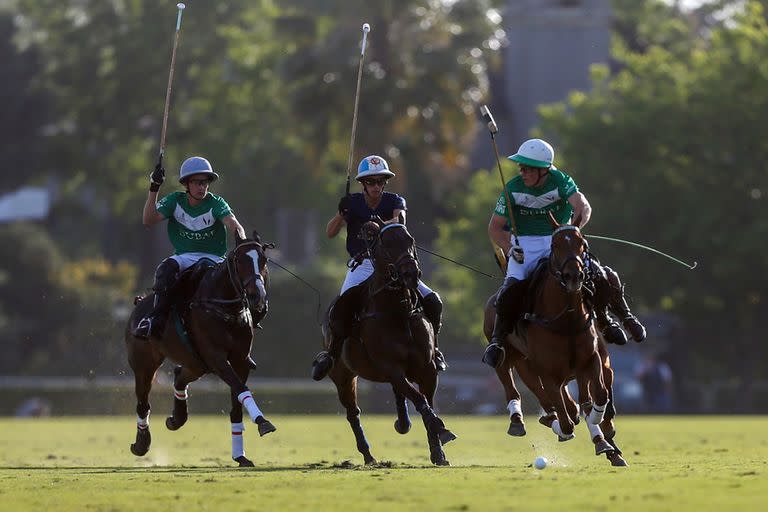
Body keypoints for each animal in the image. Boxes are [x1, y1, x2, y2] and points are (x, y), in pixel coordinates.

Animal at [123, 232, 272, 468]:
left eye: (264, 260)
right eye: (240, 261)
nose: (258, 297)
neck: (225, 308)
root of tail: (139, 303)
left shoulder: (240, 360)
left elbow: (237, 402)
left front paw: (240, 455)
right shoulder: (217, 358)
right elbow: (241, 389)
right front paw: (263, 422)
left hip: (196, 363)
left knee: (178, 377)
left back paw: (176, 418)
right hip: (144, 365)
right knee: (143, 403)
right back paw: (141, 443)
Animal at [324, 222, 456, 466]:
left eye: (410, 240)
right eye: (386, 246)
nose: (410, 273)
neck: (399, 309)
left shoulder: (427, 368)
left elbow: (426, 400)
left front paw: (438, 452)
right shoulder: (391, 367)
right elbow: (419, 399)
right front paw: (442, 430)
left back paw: (402, 424)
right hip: (342, 376)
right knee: (353, 413)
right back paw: (368, 455)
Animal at [486, 214, 624, 462]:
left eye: (582, 244)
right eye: (555, 245)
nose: (574, 276)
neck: (566, 320)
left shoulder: (591, 360)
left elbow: (597, 396)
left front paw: (598, 423)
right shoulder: (548, 374)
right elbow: (567, 421)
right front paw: (561, 427)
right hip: (513, 360)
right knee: (513, 384)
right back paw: (519, 421)